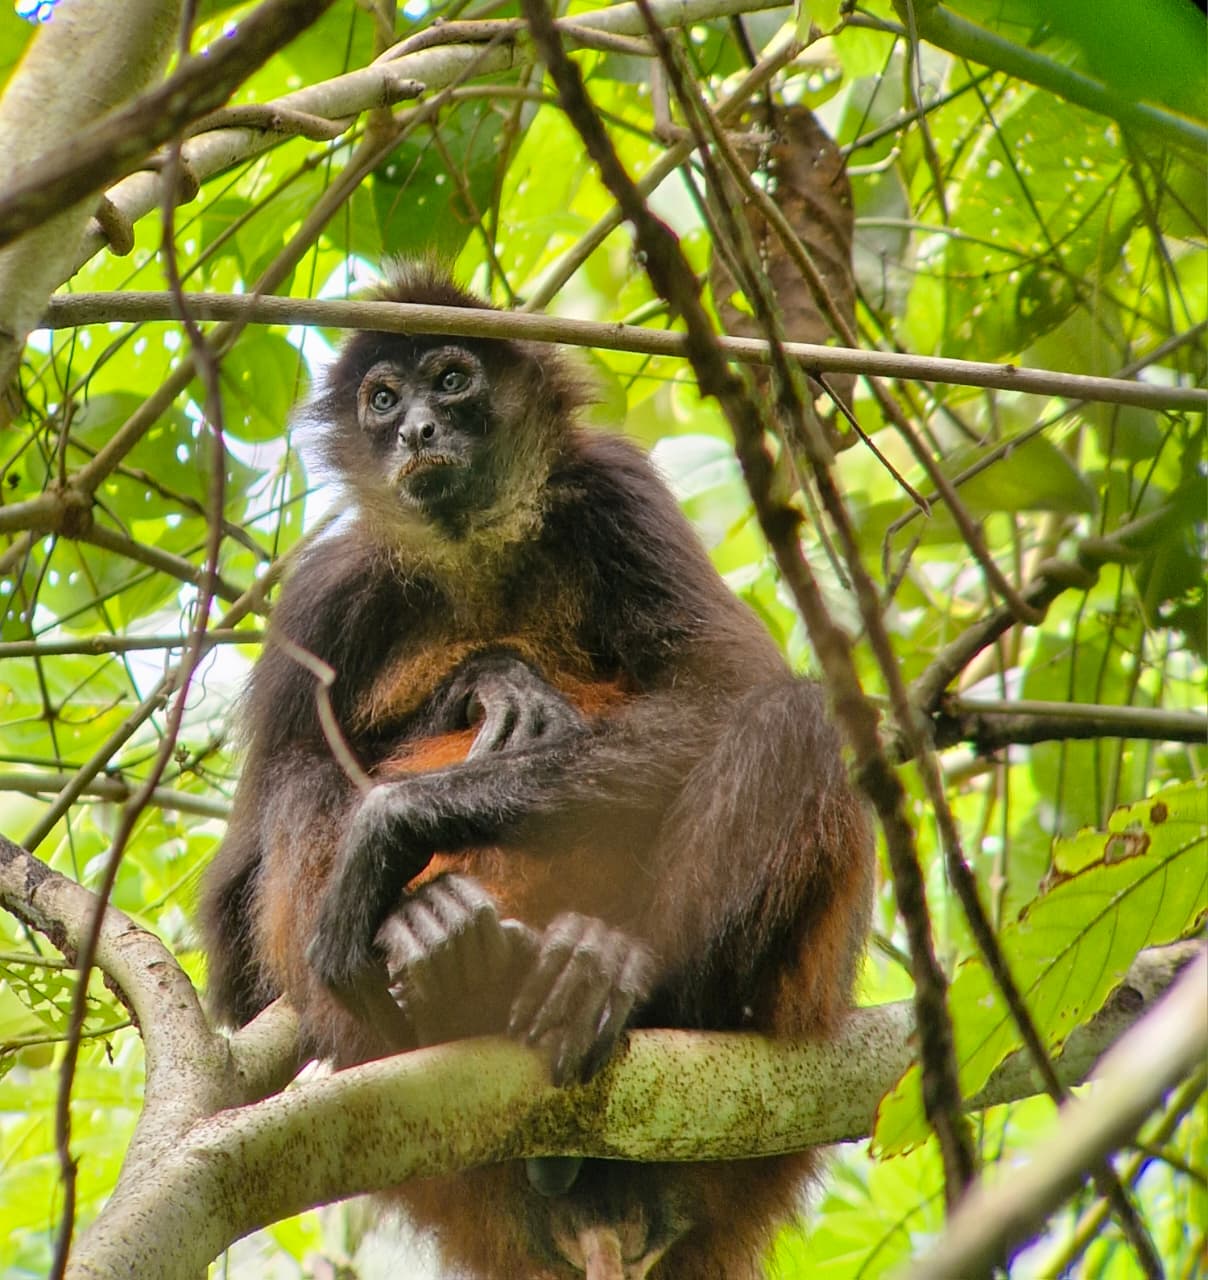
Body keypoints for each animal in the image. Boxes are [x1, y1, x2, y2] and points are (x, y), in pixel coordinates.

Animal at [201, 263, 874, 1279]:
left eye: (451, 381)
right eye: (382, 400)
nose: (417, 432)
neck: (477, 554)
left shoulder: (616, 492)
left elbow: (728, 688)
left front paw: (401, 816)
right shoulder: (323, 595)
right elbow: (236, 926)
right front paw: (487, 682)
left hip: (804, 986)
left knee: (794, 717)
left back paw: (616, 970)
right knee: (301, 787)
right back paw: (440, 959)